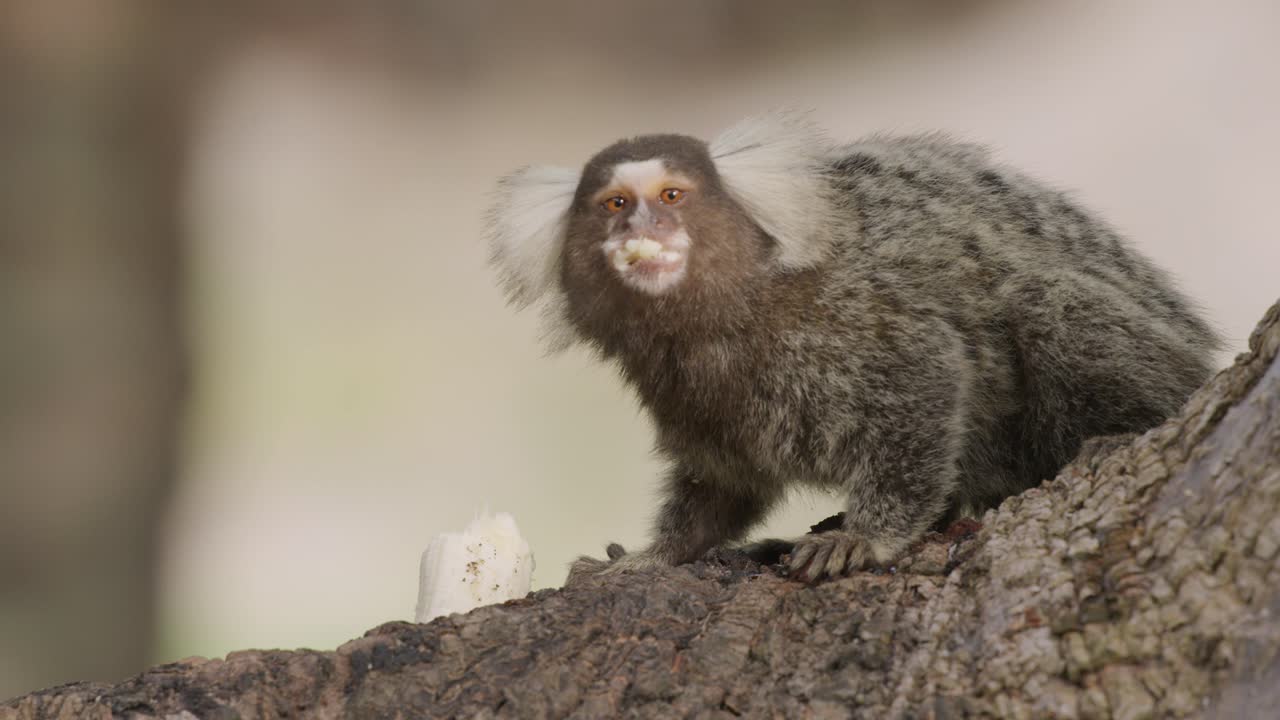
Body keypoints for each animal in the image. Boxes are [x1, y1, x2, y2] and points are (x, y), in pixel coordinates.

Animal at [486, 112, 1220, 584]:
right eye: (614, 203)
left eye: (671, 195)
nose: (642, 226)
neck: (721, 324)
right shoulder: (686, 394)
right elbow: (722, 485)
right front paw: (658, 554)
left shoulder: (853, 321)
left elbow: (928, 384)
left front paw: (868, 538)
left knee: (1044, 307)